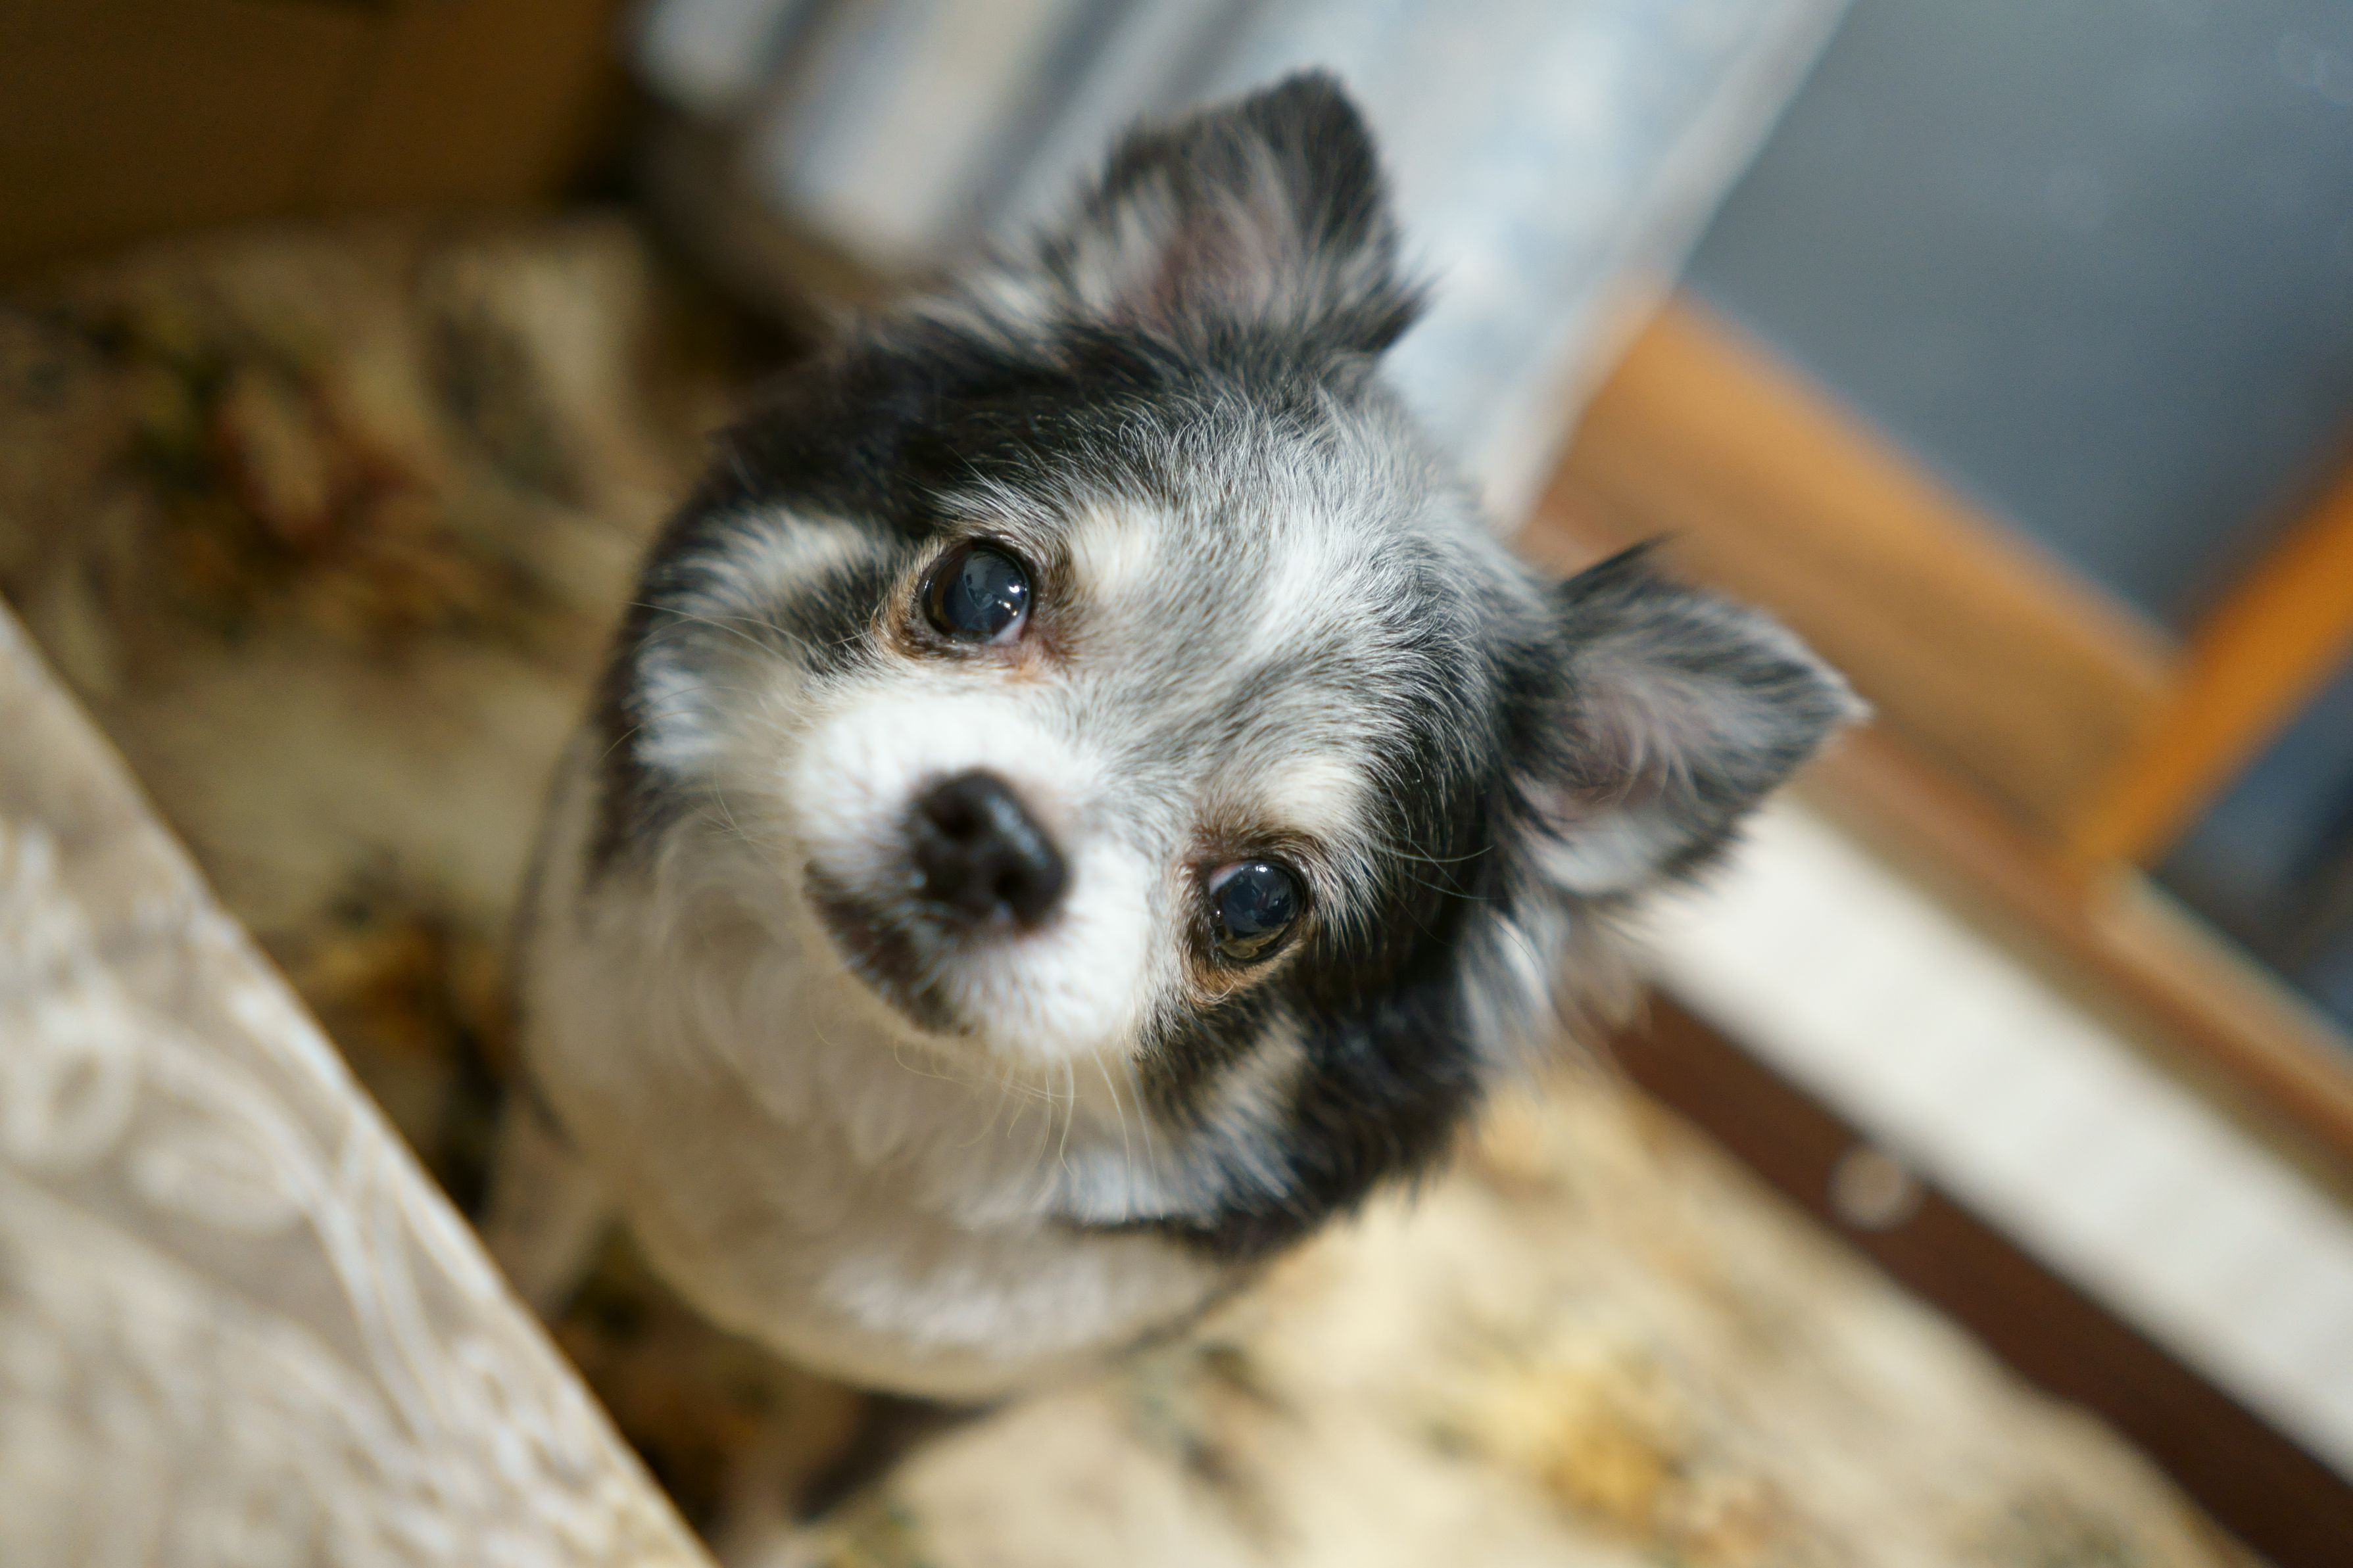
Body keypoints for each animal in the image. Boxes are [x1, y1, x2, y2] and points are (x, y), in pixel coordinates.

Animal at [491, 72, 1856, 1439]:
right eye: (979, 589)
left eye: (1257, 903)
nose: (996, 839)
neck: (851, 1067)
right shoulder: (560, 1113)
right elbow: (520, 1287)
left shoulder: (935, 1395)